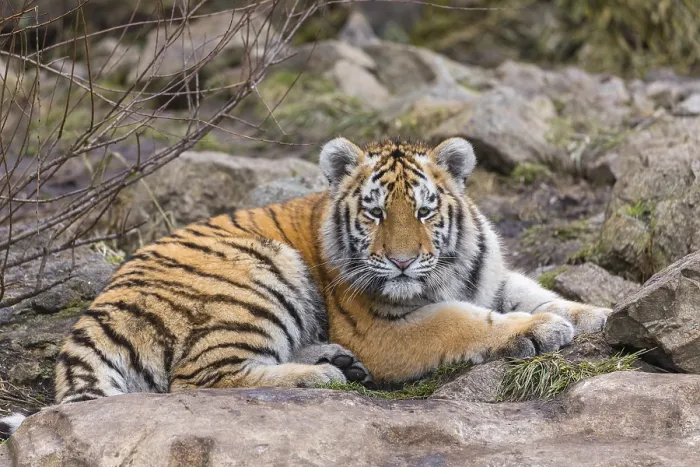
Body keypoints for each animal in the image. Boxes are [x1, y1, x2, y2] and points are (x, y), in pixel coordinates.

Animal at [0, 137, 611, 439]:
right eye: (374, 213)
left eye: (423, 210)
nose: (403, 262)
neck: (447, 269)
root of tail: (89, 320)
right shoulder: (385, 331)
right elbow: (461, 320)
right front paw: (539, 330)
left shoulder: (491, 275)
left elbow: (532, 291)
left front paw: (595, 313)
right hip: (260, 271)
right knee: (197, 380)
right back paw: (322, 376)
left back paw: (333, 361)